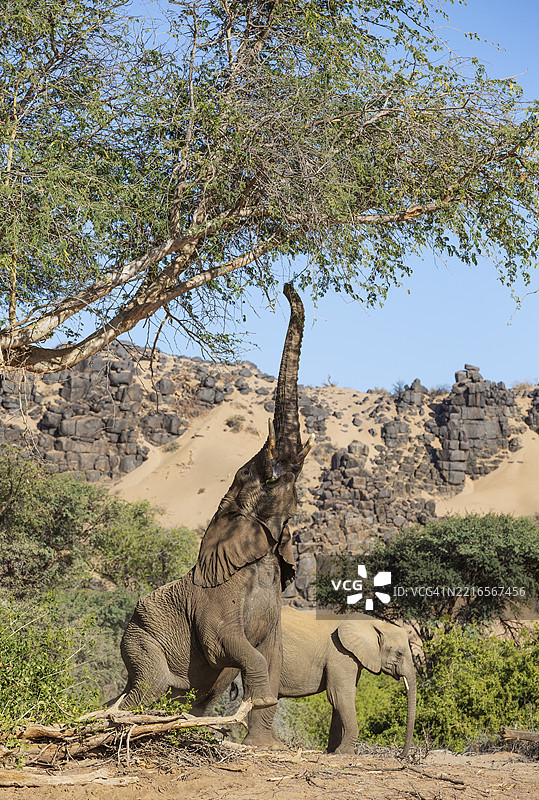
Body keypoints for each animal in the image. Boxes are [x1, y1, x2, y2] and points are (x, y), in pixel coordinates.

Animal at [112, 284, 312, 721]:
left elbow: (271, 657)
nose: (288, 287)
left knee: (193, 699)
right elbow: (229, 647)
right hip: (140, 639)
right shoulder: (215, 603)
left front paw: (262, 725)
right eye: (256, 472)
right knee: (145, 689)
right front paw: (259, 704)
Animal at [197, 607, 416, 756]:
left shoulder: (350, 657)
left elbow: (339, 700)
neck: (373, 623)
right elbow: (340, 696)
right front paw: (344, 753)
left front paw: (332, 752)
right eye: (399, 653)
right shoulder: (340, 653)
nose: (401, 756)